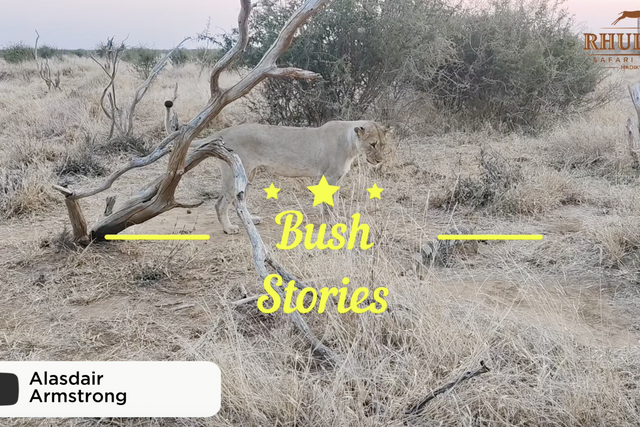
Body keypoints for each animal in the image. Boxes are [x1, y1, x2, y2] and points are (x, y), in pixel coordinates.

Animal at [190, 119, 391, 234]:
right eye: (372, 144)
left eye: (383, 144)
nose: (380, 160)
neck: (350, 143)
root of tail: (223, 132)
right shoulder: (329, 176)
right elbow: (329, 203)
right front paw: (333, 222)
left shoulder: (336, 179)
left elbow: (333, 200)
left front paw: (337, 219)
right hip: (235, 173)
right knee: (220, 204)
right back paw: (229, 229)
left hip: (247, 174)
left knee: (239, 200)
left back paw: (251, 220)